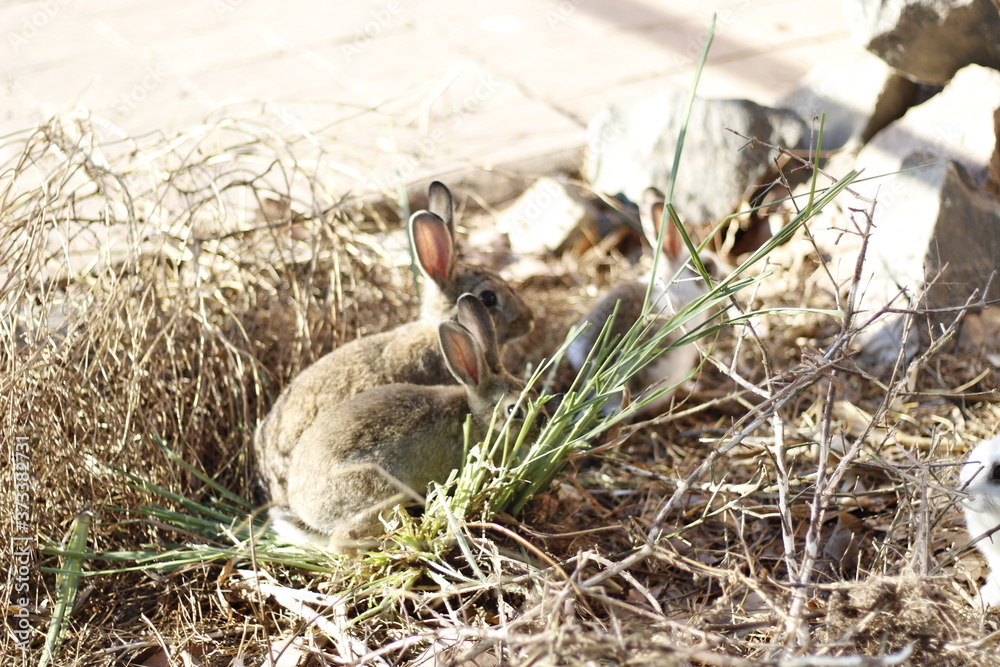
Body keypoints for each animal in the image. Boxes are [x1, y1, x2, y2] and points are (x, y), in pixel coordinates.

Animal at [269, 294, 537, 551]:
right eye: (514, 409)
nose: (540, 425)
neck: (478, 416)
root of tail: (305, 510)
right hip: (382, 491)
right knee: (342, 541)